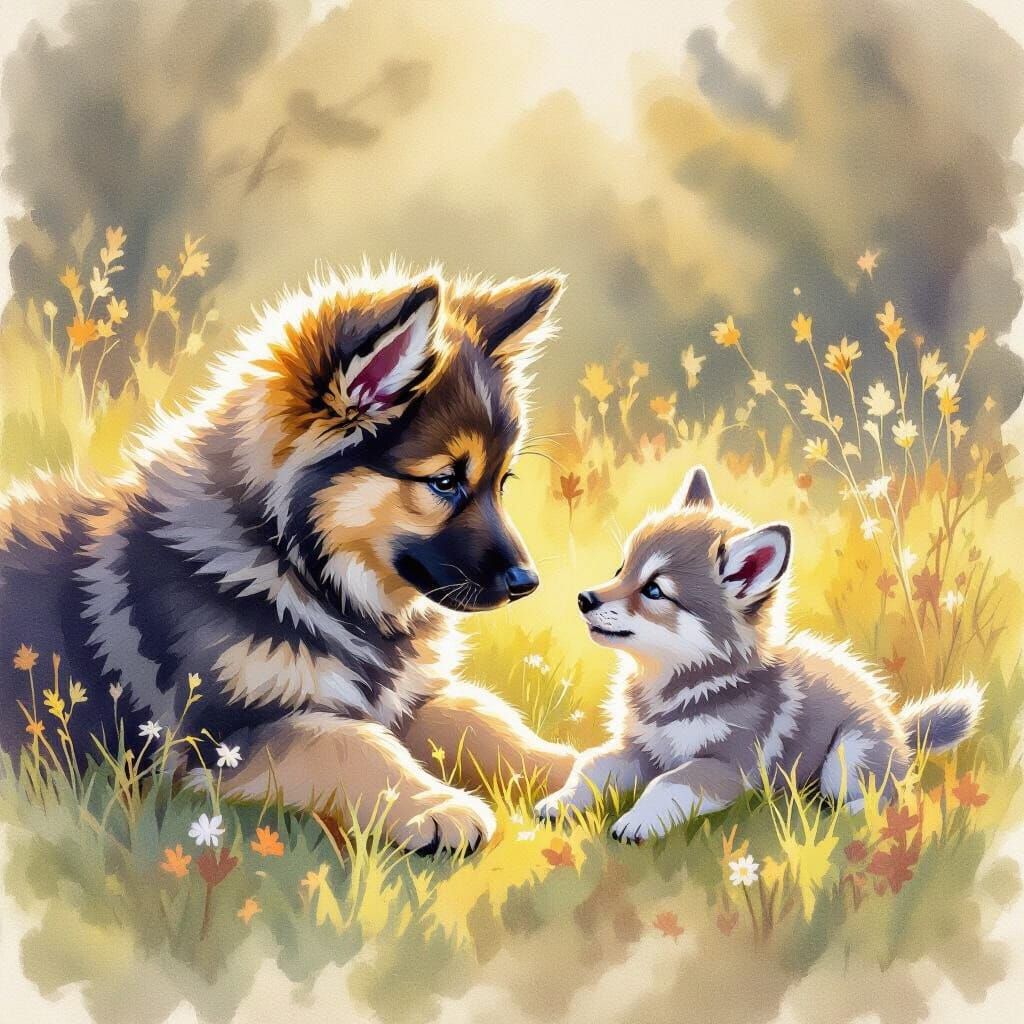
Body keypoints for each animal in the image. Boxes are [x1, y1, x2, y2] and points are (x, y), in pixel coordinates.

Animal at [0, 265, 576, 853]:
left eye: (501, 482)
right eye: (444, 482)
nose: (528, 583)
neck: (298, 570)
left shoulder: (403, 698)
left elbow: (481, 717)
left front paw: (575, 772)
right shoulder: (215, 741)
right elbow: (349, 742)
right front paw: (437, 806)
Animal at [535, 466, 983, 842]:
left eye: (654, 590)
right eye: (620, 570)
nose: (584, 599)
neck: (686, 682)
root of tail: (899, 728)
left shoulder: (727, 764)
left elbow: (669, 782)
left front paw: (636, 822)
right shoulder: (643, 748)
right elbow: (592, 765)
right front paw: (559, 802)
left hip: (847, 756)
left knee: (890, 795)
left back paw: (849, 814)